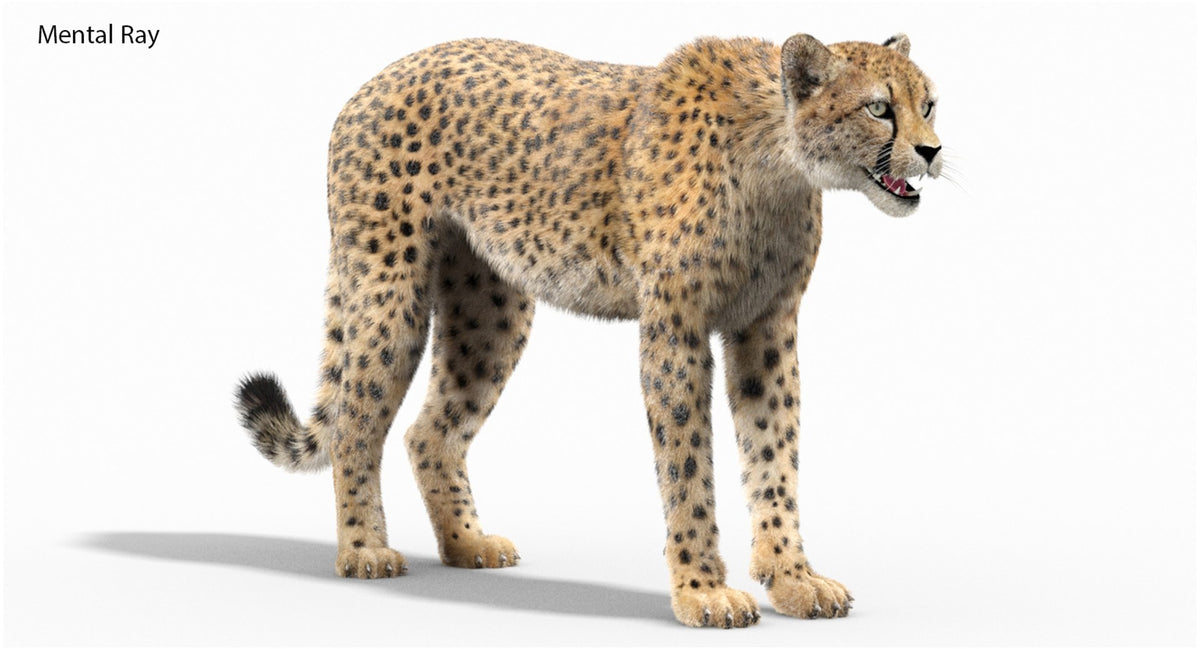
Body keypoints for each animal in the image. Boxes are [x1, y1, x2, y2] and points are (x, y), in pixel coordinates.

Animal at [235, 32, 942, 628]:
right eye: (880, 109)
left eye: (929, 104)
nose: (932, 150)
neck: (779, 160)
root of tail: (375, 80)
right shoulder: (674, 329)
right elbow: (687, 464)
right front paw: (703, 591)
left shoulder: (766, 329)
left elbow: (775, 456)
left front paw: (794, 577)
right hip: (390, 287)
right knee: (356, 421)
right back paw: (364, 551)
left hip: (491, 309)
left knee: (429, 430)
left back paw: (467, 543)